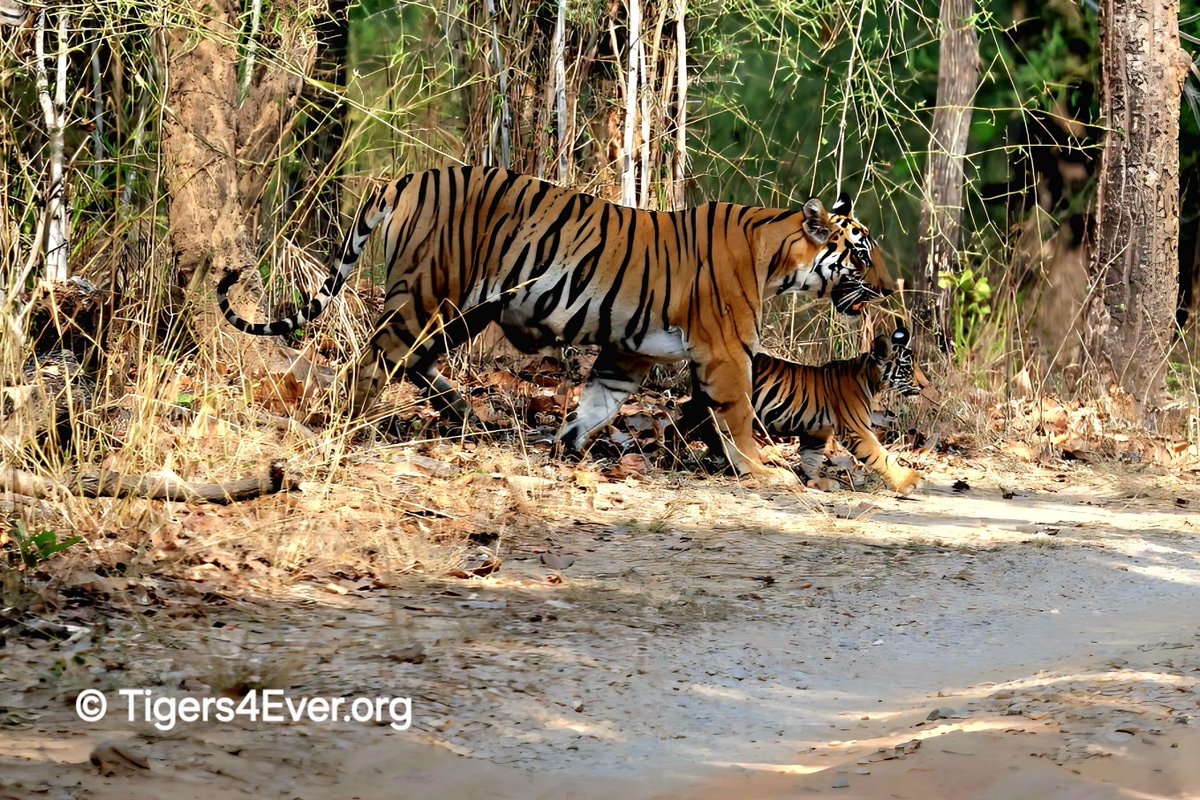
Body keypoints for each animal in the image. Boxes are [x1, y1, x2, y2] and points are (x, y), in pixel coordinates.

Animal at [216, 166, 894, 485]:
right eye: (862, 254)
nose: (890, 291)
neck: (778, 259)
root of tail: (407, 177)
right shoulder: (727, 353)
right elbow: (739, 418)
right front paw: (763, 470)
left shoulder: (632, 352)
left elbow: (597, 403)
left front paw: (566, 447)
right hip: (430, 293)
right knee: (374, 359)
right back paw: (348, 427)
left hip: (466, 308)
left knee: (415, 359)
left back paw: (470, 418)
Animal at [680, 326, 925, 494]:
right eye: (907, 369)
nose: (925, 385)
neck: (869, 378)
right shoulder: (857, 431)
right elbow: (882, 456)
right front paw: (909, 480)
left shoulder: (816, 431)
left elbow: (811, 458)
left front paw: (817, 481)